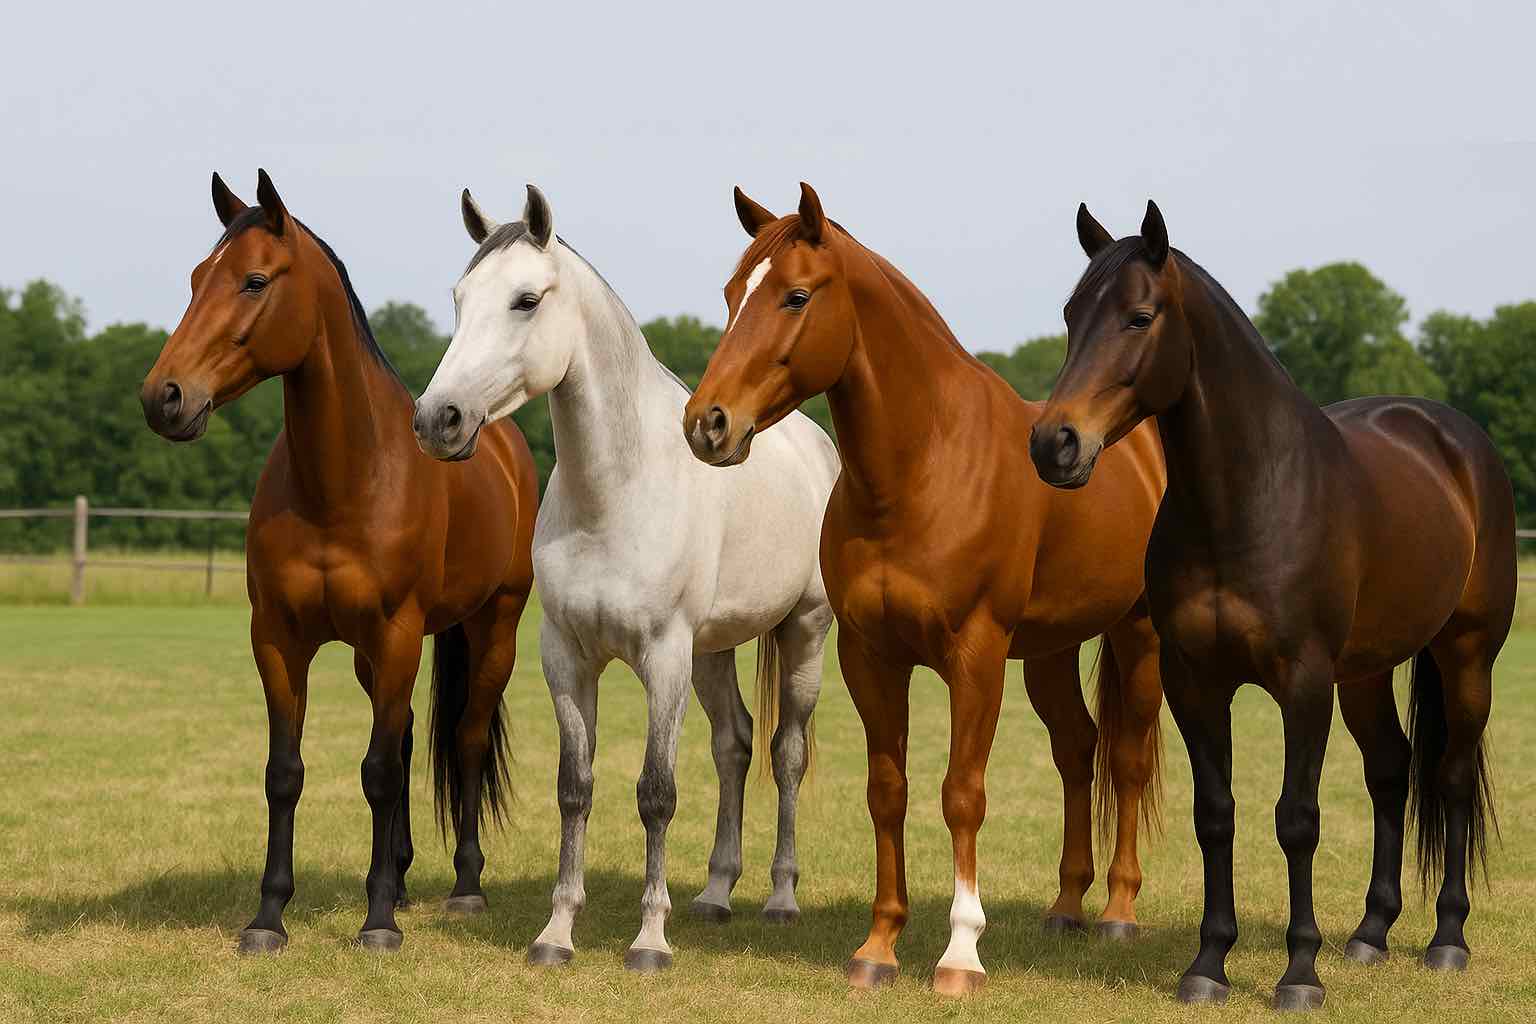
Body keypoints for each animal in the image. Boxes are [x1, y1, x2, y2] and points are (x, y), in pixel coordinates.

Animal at [140, 171, 538, 953]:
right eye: (198, 277)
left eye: (254, 280)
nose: (163, 397)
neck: (345, 479)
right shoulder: (280, 639)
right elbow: (285, 772)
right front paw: (268, 917)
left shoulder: (395, 633)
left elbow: (378, 772)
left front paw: (378, 921)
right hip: (373, 655)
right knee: (410, 737)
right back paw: (405, 875)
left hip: (493, 628)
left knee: (466, 740)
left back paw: (463, 887)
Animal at [411, 183, 839, 971]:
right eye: (458, 298)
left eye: (526, 300)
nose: (437, 420)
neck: (614, 496)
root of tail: (815, 445)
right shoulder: (567, 659)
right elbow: (575, 789)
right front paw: (556, 934)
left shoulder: (663, 658)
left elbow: (656, 793)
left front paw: (649, 939)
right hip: (713, 651)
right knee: (734, 745)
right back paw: (715, 894)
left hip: (802, 634)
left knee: (785, 753)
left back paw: (779, 899)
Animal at [681, 183, 1169, 996]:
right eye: (729, 293)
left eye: (796, 296)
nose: (707, 424)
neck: (924, 469)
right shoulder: (871, 657)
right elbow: (889, 791)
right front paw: (878, 947)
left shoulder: (975, 658)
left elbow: (961, 795)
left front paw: (960, 954)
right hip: (1048, 653)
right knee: (1077, 751)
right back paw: (1066, 907)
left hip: (1137, 635)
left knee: (1126, 757)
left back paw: (1119, 913)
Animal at [1029, 201, 1514, 1010]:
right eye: (1069, 316)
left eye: (1139, 317)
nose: (1053, 444)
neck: (1251, 497)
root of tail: (1455, 437)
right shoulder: (1196, 682)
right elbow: (1216, 816)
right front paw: (1207, 965)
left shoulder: (1304, 684)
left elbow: (1297, 819)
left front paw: (1299, 974)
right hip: (1366, 674)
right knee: (1390, 771)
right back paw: (1371, 933)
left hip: (1466, 653)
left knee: (1447, 777)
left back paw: (1446, 939)